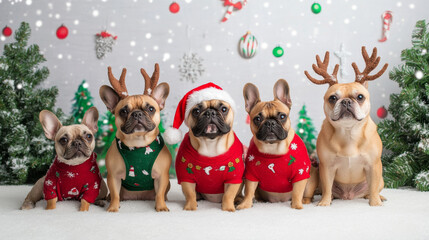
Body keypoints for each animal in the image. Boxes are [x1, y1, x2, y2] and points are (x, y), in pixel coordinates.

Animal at [99, 63, 171, 212]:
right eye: (123, 111)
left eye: (151, 109)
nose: (137, 113)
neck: (138, 144)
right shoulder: (113, 176)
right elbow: (115, 194)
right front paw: (113, 208)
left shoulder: (162, 176)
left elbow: (160, 193)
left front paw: (161, 207)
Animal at [164, 83, 242, 212]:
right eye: (196, 111)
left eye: (224, 109)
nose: (210, 112)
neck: (211, 143)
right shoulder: (186, 177)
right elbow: (190, 193)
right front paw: (190, 207)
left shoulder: (233, 179)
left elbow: (228, 195)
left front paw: (228, 209)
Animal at [236, 79, 310, 209]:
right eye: (257, 119)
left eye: (282, 116)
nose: (270, 123)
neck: (273, 148)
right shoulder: (251, 175)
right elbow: (249, 191)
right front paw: (245, 204)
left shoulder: (300, 173)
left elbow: (297, 192)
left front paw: (296, 206)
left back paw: (305, 201)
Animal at [300, 47, 388, 206]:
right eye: (332, 98)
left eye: (360, 97)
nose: (346, 101)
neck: (349, 132)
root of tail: (349, 196)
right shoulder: (326, 167)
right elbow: (327, 187)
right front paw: (324, 203)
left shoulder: (374, 165)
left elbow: (373, 187)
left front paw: (375, 203)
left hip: (381, 180)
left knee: (373, 189)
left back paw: (378, 197)